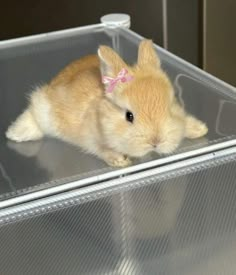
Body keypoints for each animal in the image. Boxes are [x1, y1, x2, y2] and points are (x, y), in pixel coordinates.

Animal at [5, 39, 207, 167]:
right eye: (129, 116)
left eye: (170, 106)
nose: (155, 141)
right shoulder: (93, 140)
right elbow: (101, 150)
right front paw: (120, 161)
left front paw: (200, 129)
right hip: (44, 111)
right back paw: (15, 134)